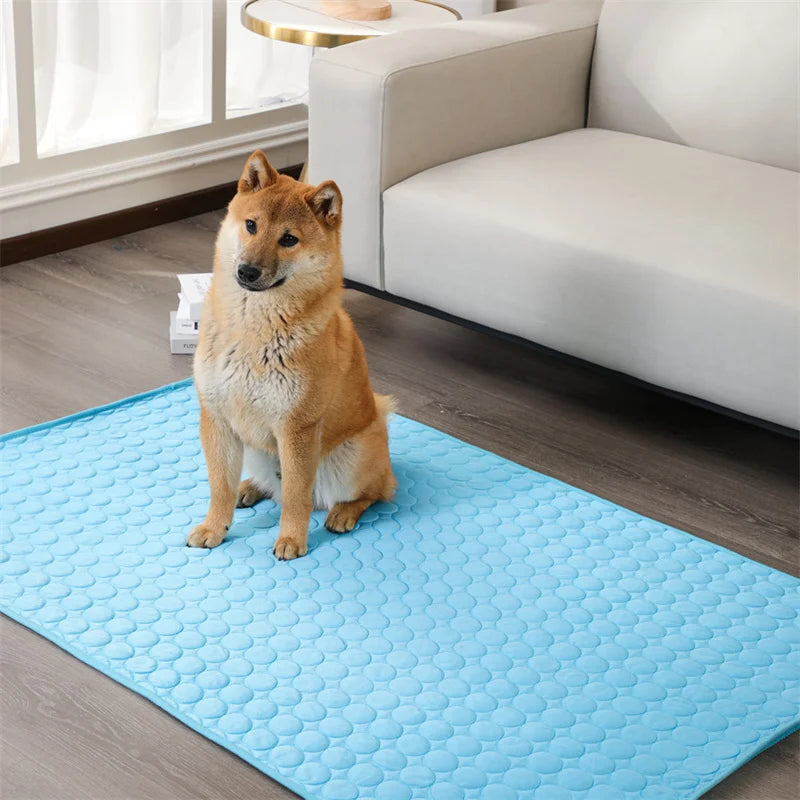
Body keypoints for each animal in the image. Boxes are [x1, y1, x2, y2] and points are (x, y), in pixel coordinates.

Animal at [191, 152, 396, 564]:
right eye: (251, 225)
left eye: (289, 239)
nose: (247, 270)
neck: (251, 330)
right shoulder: (217, 418)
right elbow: (219, 486)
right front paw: (213, 527)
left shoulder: (297, 428)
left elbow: (296, 497)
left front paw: (291, 539)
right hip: (257, 450)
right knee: (271, 486)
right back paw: (250, 487)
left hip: (351, 456)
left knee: (373, 493)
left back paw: (343, 513)